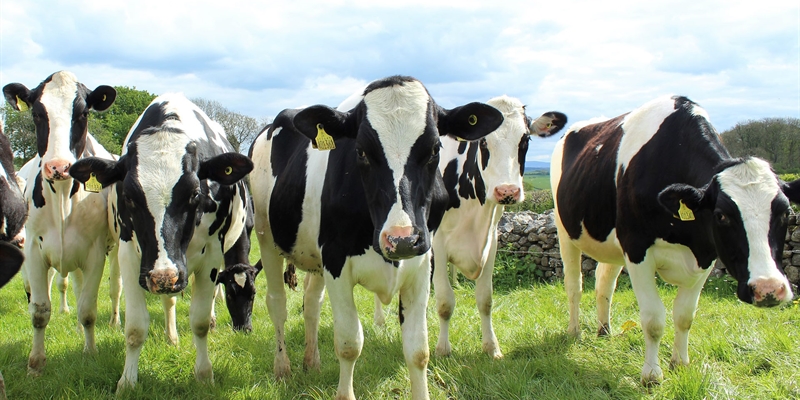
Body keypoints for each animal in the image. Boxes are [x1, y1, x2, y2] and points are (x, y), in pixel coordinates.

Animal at [2, 71, 119, 376]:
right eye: (37, 114)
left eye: (83, 113)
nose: (58, 167)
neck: (64, 197)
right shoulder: (33, 249)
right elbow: (40, 310)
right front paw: (35, 364)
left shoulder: (95, 252)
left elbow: (88, 309)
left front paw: (90, 352)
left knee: (114, 287)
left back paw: (113, 321)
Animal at [72, 91, 255, 390]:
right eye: (129, 197)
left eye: (194, 193)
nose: (163, 276)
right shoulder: (131, 256)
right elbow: (135, 327)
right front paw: (127, 381)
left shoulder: (212, 256)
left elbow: (200, 321)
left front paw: (204, 374)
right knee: (168, 300)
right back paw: (171, 336)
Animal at [250, 76, 500, 400]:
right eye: (360, 151)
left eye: (435, 149)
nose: (401, 239)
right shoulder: (336, 262)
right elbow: (349, 343)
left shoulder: (422, 263)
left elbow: (418, 349)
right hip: (266, 236)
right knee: (277, 303)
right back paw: (283, 368)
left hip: (314, 257)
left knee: (312, 304)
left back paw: (312, 361)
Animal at [428, 95, 564, 358]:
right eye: (483, 141)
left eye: (525, 139)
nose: (507, 191)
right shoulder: (437, 243)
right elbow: (445, 302)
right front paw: (442, 350)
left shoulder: (491, 241)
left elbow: (485, 299)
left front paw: (492, 348)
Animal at [552, 94, 800, 384]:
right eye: (721, 216)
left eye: (786, 213)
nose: (768, 289)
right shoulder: (637, 248)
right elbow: (653, 319)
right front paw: (651, 375)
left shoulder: (706, 255)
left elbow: (685, 315)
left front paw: (680, 364)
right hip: (565, 230)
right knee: (574, 286)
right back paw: (575, 331)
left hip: (611, 242)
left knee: (604, 282)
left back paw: (604, 330)